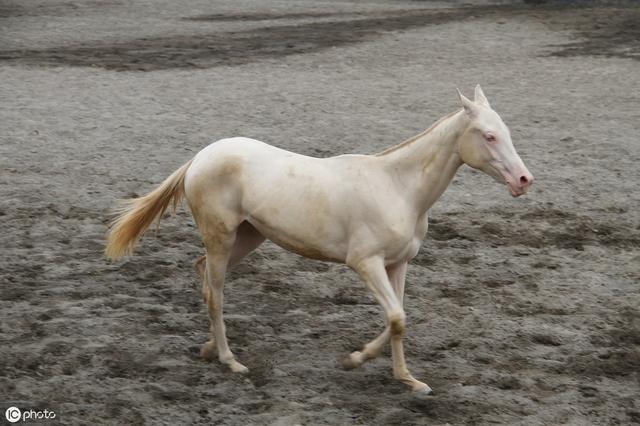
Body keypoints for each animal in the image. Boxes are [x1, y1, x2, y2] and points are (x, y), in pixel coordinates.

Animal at [106, 86, 536, 396]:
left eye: (507, 133)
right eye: (489, 136)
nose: (523, 180)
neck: (398, 188)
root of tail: (199, 158)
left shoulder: (398, 264)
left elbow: (399, 319)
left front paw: (407, 380)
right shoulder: (365, 263)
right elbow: (396, 317)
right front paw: (354, 360)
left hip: (248, 237)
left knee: (205, 278)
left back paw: (210, 348)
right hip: (222, 237)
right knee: (217, 292)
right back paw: (231, 360)